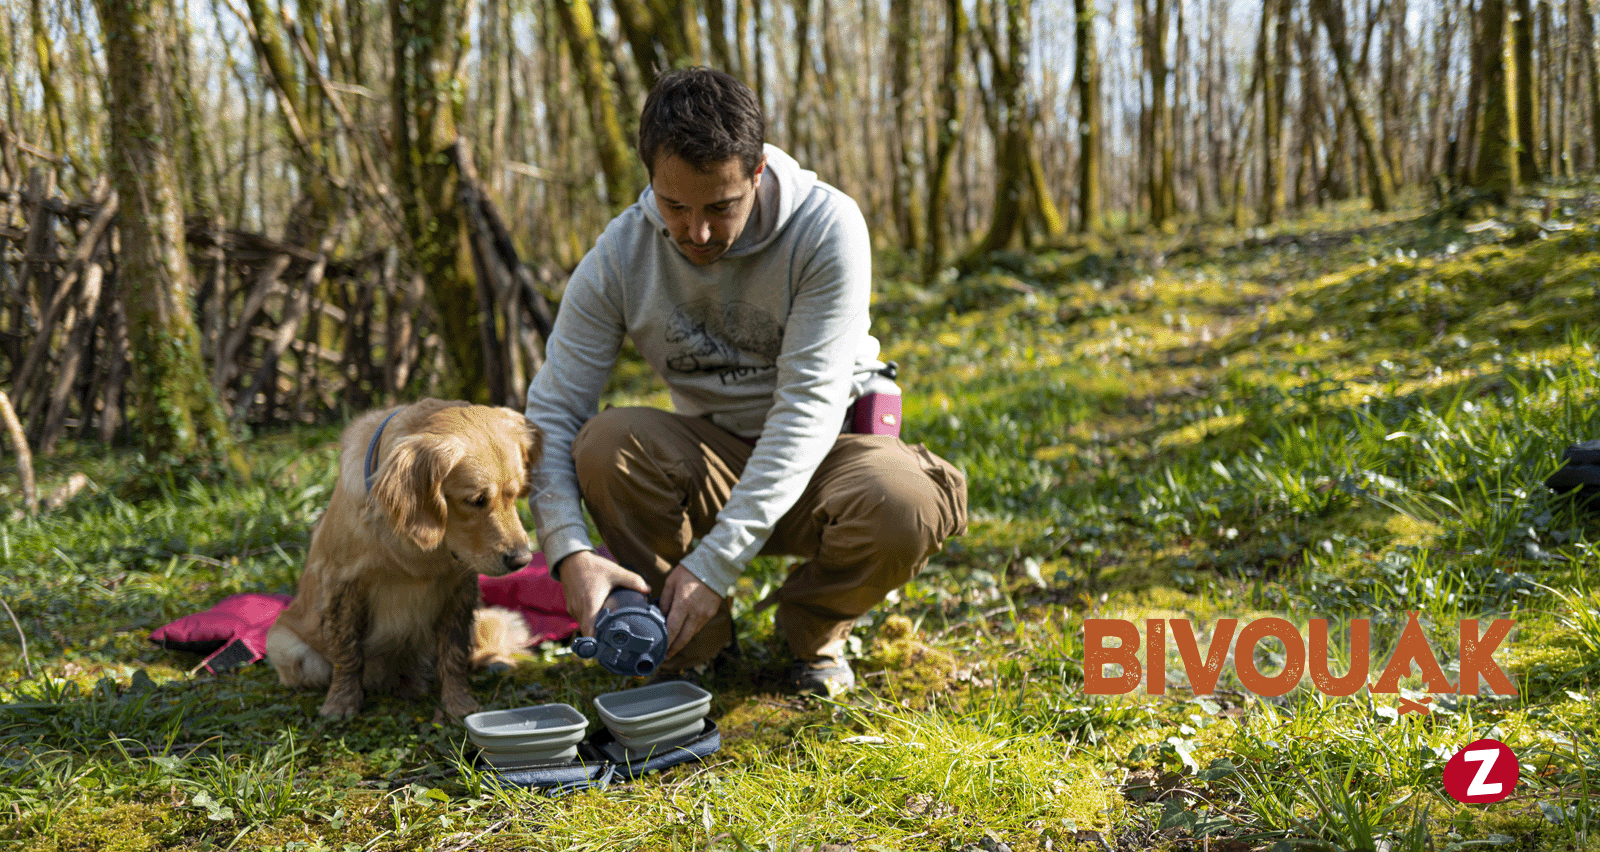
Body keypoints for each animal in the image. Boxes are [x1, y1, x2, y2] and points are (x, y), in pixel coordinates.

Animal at [268, 398, 544, 717]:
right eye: (475, 500)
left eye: (515, 495)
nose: (522, 560)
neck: (417, 549)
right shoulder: (343, 584)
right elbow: (347, 652)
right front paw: (341, 702)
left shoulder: (460, 588)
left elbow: (454, 652)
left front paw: (458, 702)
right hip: (286, 649)